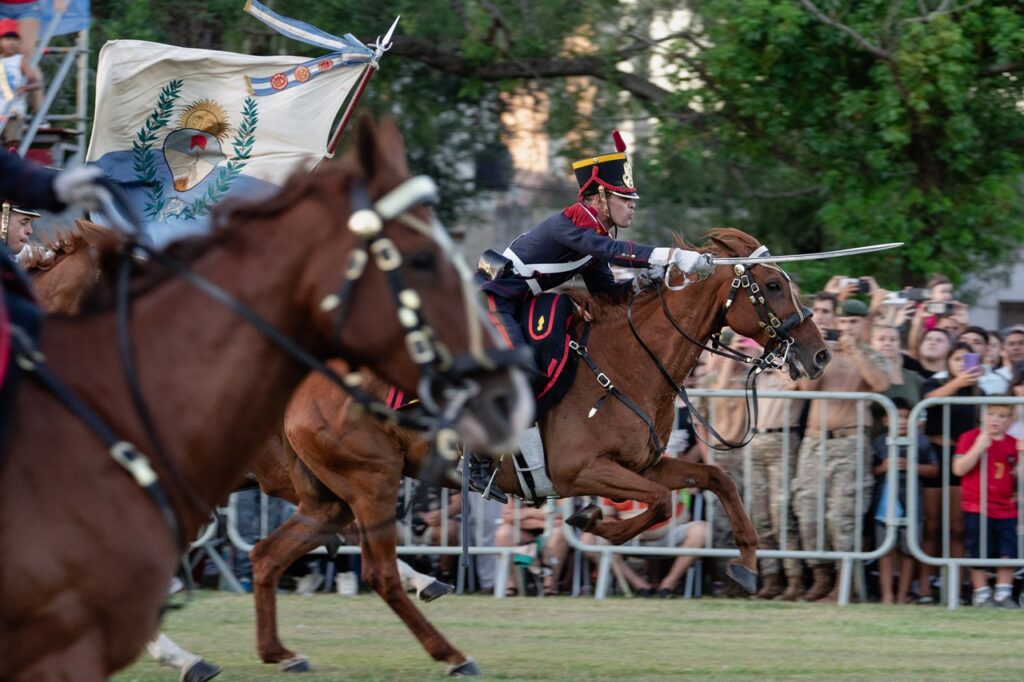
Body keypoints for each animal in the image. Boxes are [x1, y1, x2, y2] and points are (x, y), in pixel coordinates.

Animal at [245, 227, 831, 667]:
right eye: (773, 284)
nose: (820, 354)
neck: (627, 361)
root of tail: (304, 381)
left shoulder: (645, 464)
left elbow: (717, 480)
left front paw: (748, 564)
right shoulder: (580, 471)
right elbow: (660, 505)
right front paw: (593, 523)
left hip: (331, 498)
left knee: (266, 556)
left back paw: (281, 653)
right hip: (371, 485)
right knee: (379, 573)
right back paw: (451, 652)